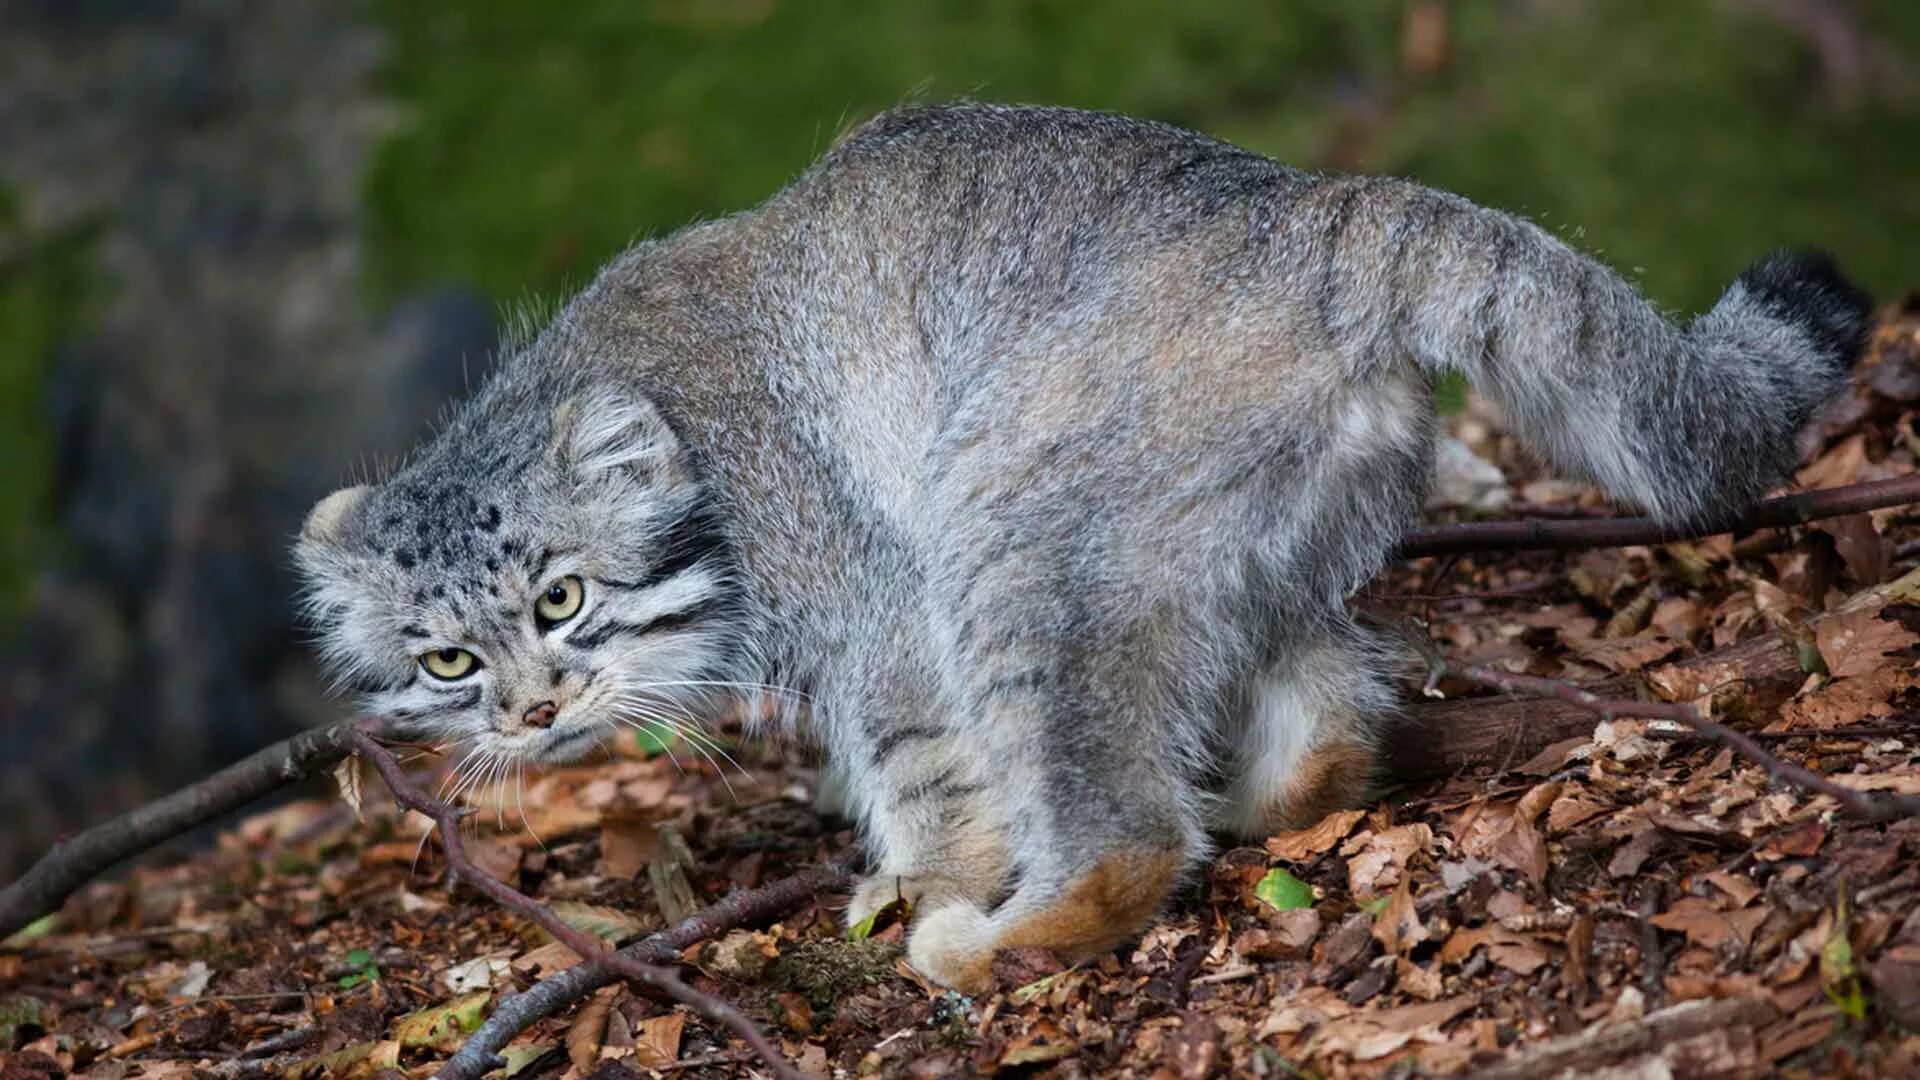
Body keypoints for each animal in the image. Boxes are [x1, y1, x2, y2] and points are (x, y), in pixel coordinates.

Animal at [291, 105, 1866, 991]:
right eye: (448, 661)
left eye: (563, 598)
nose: (532, 713)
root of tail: (1315, 206)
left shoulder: (876, 614)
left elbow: (923, 764)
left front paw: (926, 876)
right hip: (1233, 532)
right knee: (1328, 708)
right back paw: (1271, 792)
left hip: (1007, 532)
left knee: (1120, 831)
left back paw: (1001, 942)